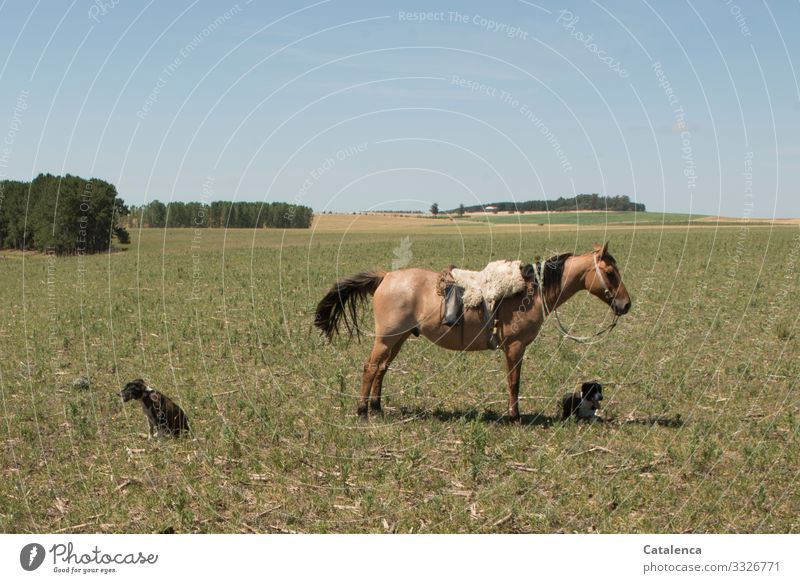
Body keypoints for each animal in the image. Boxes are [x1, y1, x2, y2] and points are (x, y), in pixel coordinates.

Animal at [312, 240, 632, 422]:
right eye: (610, 272)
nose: (626, 304)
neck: (531, 292)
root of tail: (385, 276)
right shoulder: (515, 346)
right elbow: (514, 382)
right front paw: (514, 417)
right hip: (387, 338)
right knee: (370, 368)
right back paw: (363, 412)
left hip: (398, 339)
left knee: (381, 369)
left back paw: (377, 408)